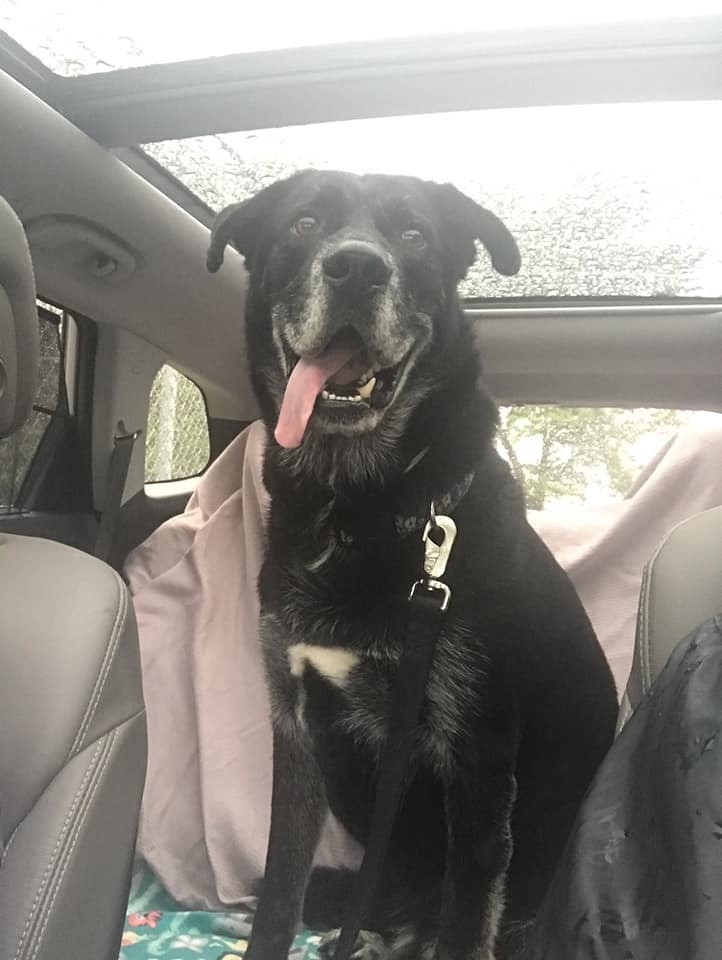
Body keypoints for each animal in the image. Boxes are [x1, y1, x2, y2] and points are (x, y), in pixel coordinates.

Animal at [207, 172, 612, 960]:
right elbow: (279, 893)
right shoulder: (297, 730)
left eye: (415, 236)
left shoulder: (478, 761)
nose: (357, 269)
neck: (357, 510)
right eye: (304, 223)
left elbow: (466, 919)